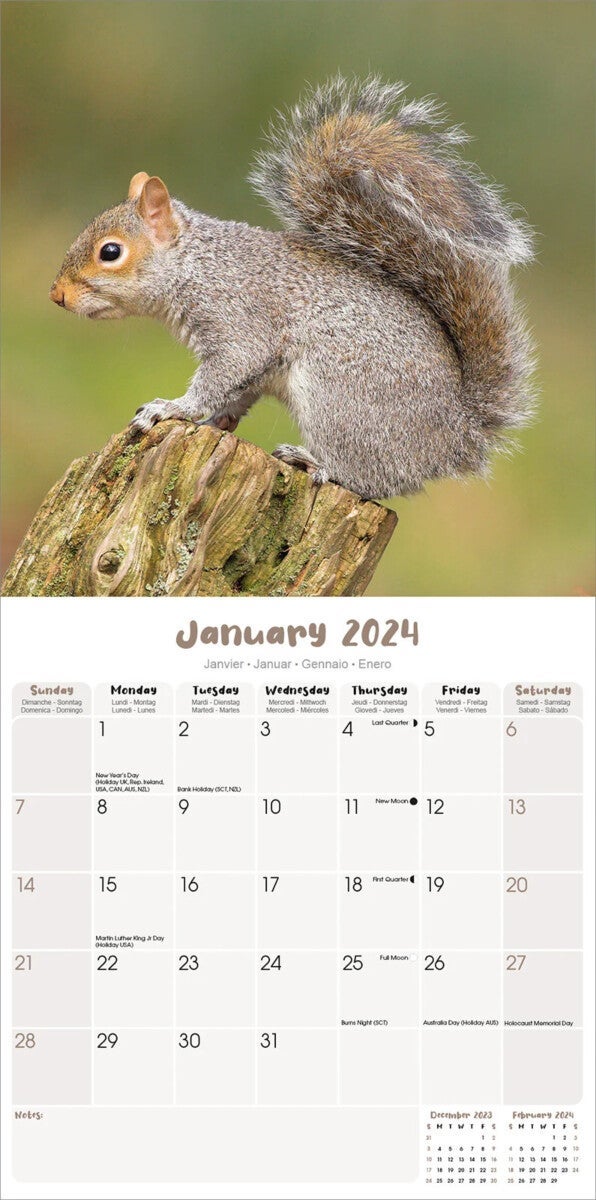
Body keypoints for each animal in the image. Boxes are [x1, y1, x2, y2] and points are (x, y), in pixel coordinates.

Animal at [49, 76, 534, 499]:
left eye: (110, 252)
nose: (57, 295)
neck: (197, 264)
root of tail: (455, 436)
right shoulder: (254, 363)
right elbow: (238, 392)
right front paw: (215, 422)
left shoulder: (238, 318)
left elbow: (223, 372)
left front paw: (173, 408)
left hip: (338, 398)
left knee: (374, 479)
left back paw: (315, 462)